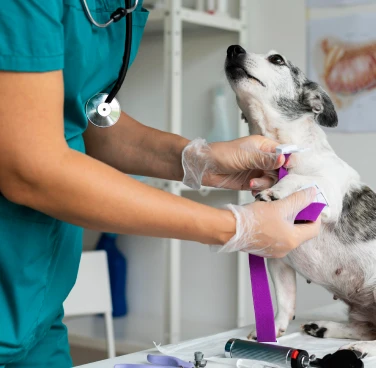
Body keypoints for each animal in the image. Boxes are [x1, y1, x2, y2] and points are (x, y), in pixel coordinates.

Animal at [225, 44, 376, 358]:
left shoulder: (329, 192)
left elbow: (301, 180)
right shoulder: (279, 258)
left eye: (277, 59)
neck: (283, 151)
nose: (233, 48)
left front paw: (278, 190)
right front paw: (273, 330)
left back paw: (361, 348)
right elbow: (285, 301)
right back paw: (324, 328)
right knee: (368, 327)